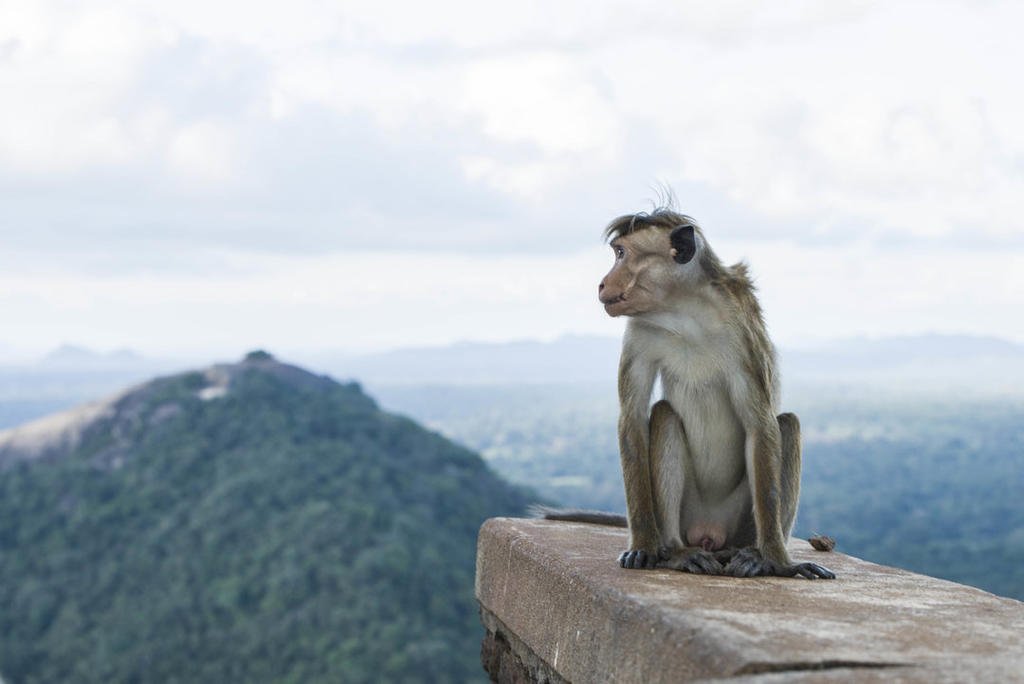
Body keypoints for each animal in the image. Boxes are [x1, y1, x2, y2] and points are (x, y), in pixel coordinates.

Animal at [545, 208, 833, 580]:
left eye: (621, 253)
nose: (602, 282)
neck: (684, 312)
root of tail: (709, 533)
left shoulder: (743, 328)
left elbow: (760, 425)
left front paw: (780, 563)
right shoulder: (639, 330)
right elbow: (633, 419)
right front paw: (643, 546)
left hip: (738, 520)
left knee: (786, 424)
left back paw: (752, 554)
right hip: (688, 516)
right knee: (664, 414)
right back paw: (675, 552)